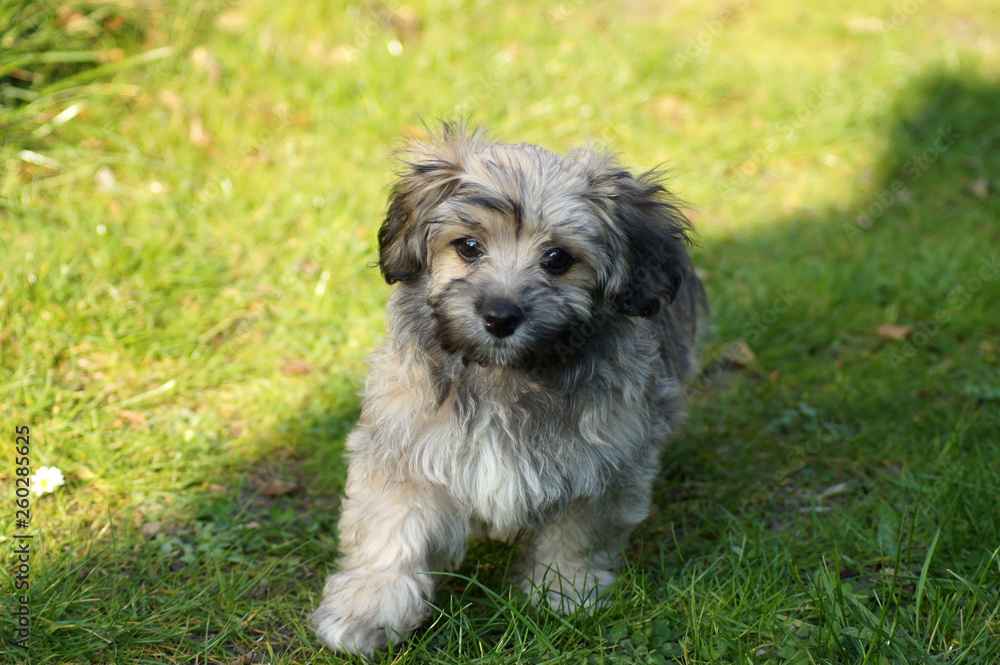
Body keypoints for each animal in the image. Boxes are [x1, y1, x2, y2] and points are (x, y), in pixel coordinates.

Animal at [312, 123, 704, 652]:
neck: (505, 376)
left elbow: (578, 531)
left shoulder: (603, 463)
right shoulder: (403, 444)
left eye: (558, 259)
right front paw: (369, 605)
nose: (500, 316)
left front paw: (565, 589)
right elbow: (390, 527)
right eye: (468, 246)